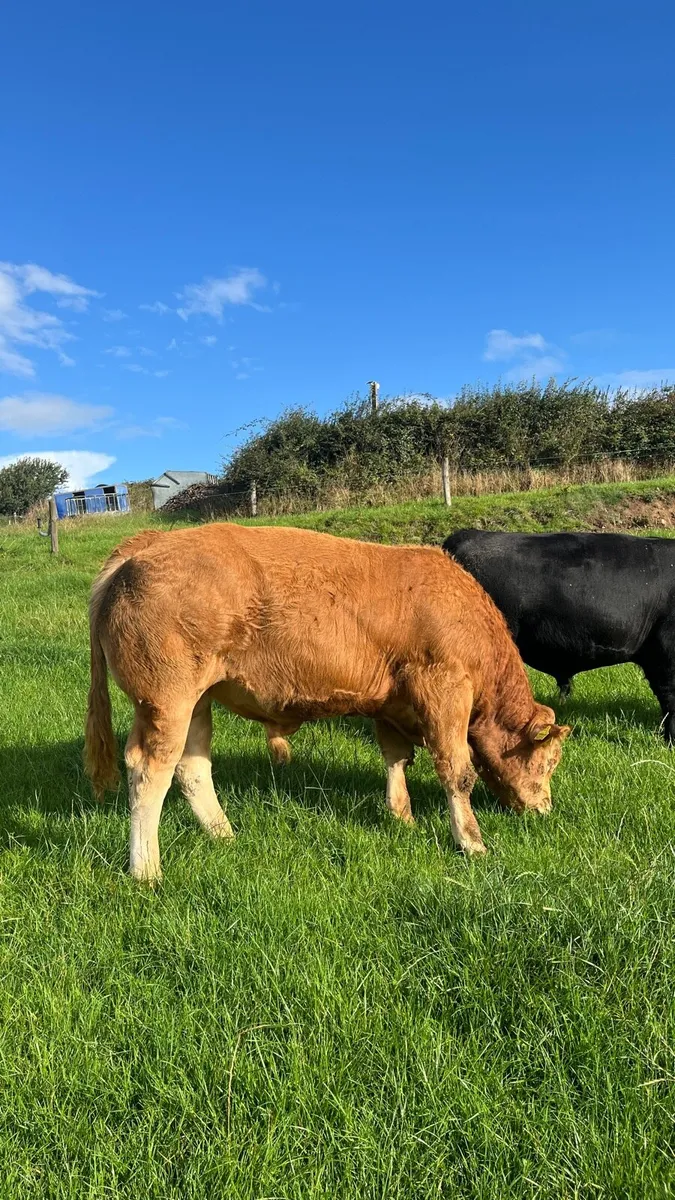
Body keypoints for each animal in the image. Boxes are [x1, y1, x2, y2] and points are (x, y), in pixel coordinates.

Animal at [84, 524, 569, 881]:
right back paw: (147, 870)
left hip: (197, 703)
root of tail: (146, 543)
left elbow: (396, 758)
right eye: (547, 763)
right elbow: (457, 772)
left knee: (192, 767)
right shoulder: (444, 691)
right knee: (150, 770)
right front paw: (471, 841)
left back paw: (225, 835)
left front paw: (402, 817)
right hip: (166, 701)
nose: (544, 810)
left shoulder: (390, 703)